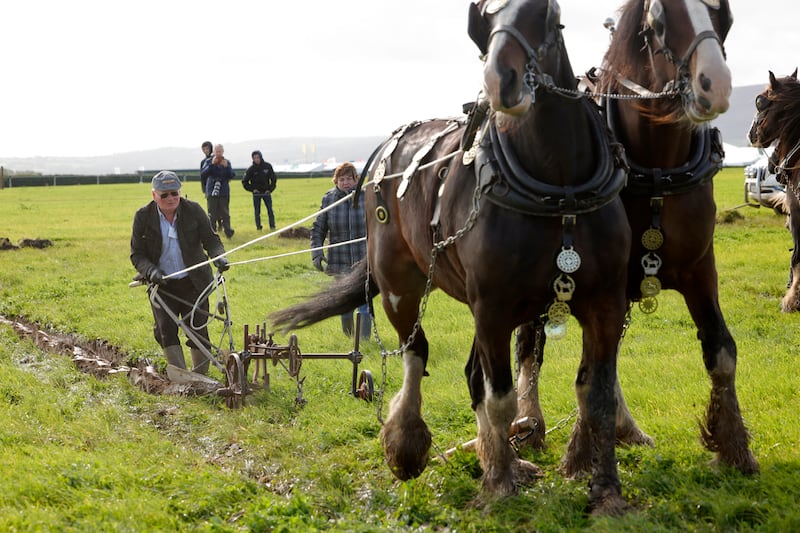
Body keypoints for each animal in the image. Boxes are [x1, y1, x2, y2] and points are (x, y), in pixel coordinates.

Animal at [272, 1, 636, 516]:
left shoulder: (605, 302)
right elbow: (501, 399)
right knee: (415, 352)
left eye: (548, 15)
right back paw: (407, 443)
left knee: (471, 376)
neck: (558, 186)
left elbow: (597, 394)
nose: (502, 81)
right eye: (480, 22)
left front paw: (606, 491)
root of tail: (388, 148)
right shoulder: (494, 308)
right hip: (400, 286)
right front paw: (499, 486)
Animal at [516, 0, 760, 474]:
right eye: (658, 23)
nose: (715, 85)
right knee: (530, 345)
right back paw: (529, 422)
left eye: (724, 17)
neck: (657, 167)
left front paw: (734, 447)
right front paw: (580, 456)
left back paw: (625, 429)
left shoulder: (700, 271)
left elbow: (721, 352)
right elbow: (588, 370)